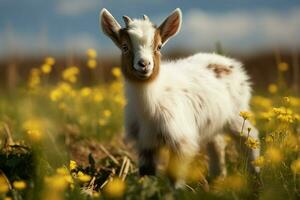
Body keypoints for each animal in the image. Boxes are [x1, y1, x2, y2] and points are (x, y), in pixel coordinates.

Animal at [99, 7, 258, 186]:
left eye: (159, 47)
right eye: (125, 47)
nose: (144, 64)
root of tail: (228, 63)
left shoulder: (181, 139)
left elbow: (174, 175)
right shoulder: (145, 142)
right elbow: (147, 173)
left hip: (238, 113)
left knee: (250, 138)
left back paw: (255, 175)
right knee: (216, 143)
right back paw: (217, 178)